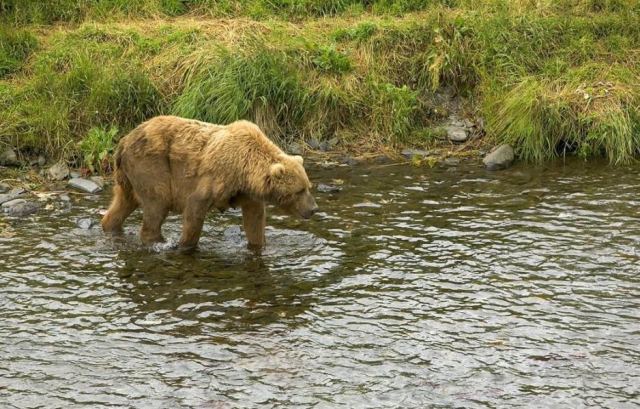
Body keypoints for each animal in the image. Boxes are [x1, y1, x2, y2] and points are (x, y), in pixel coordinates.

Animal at [100, 115, 318, 250]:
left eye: (308, 187)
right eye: (299, 191)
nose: (314, 208)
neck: (245, 171)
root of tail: (123, 142)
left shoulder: (246, 192)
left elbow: (254, 219)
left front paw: (259, 245)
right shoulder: (216, 177)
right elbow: (194, 209)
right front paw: (185, 244)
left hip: (127, 176)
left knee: (123, 203)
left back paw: (109, 226)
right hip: (151, 166)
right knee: (157, 203)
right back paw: (157, 240)